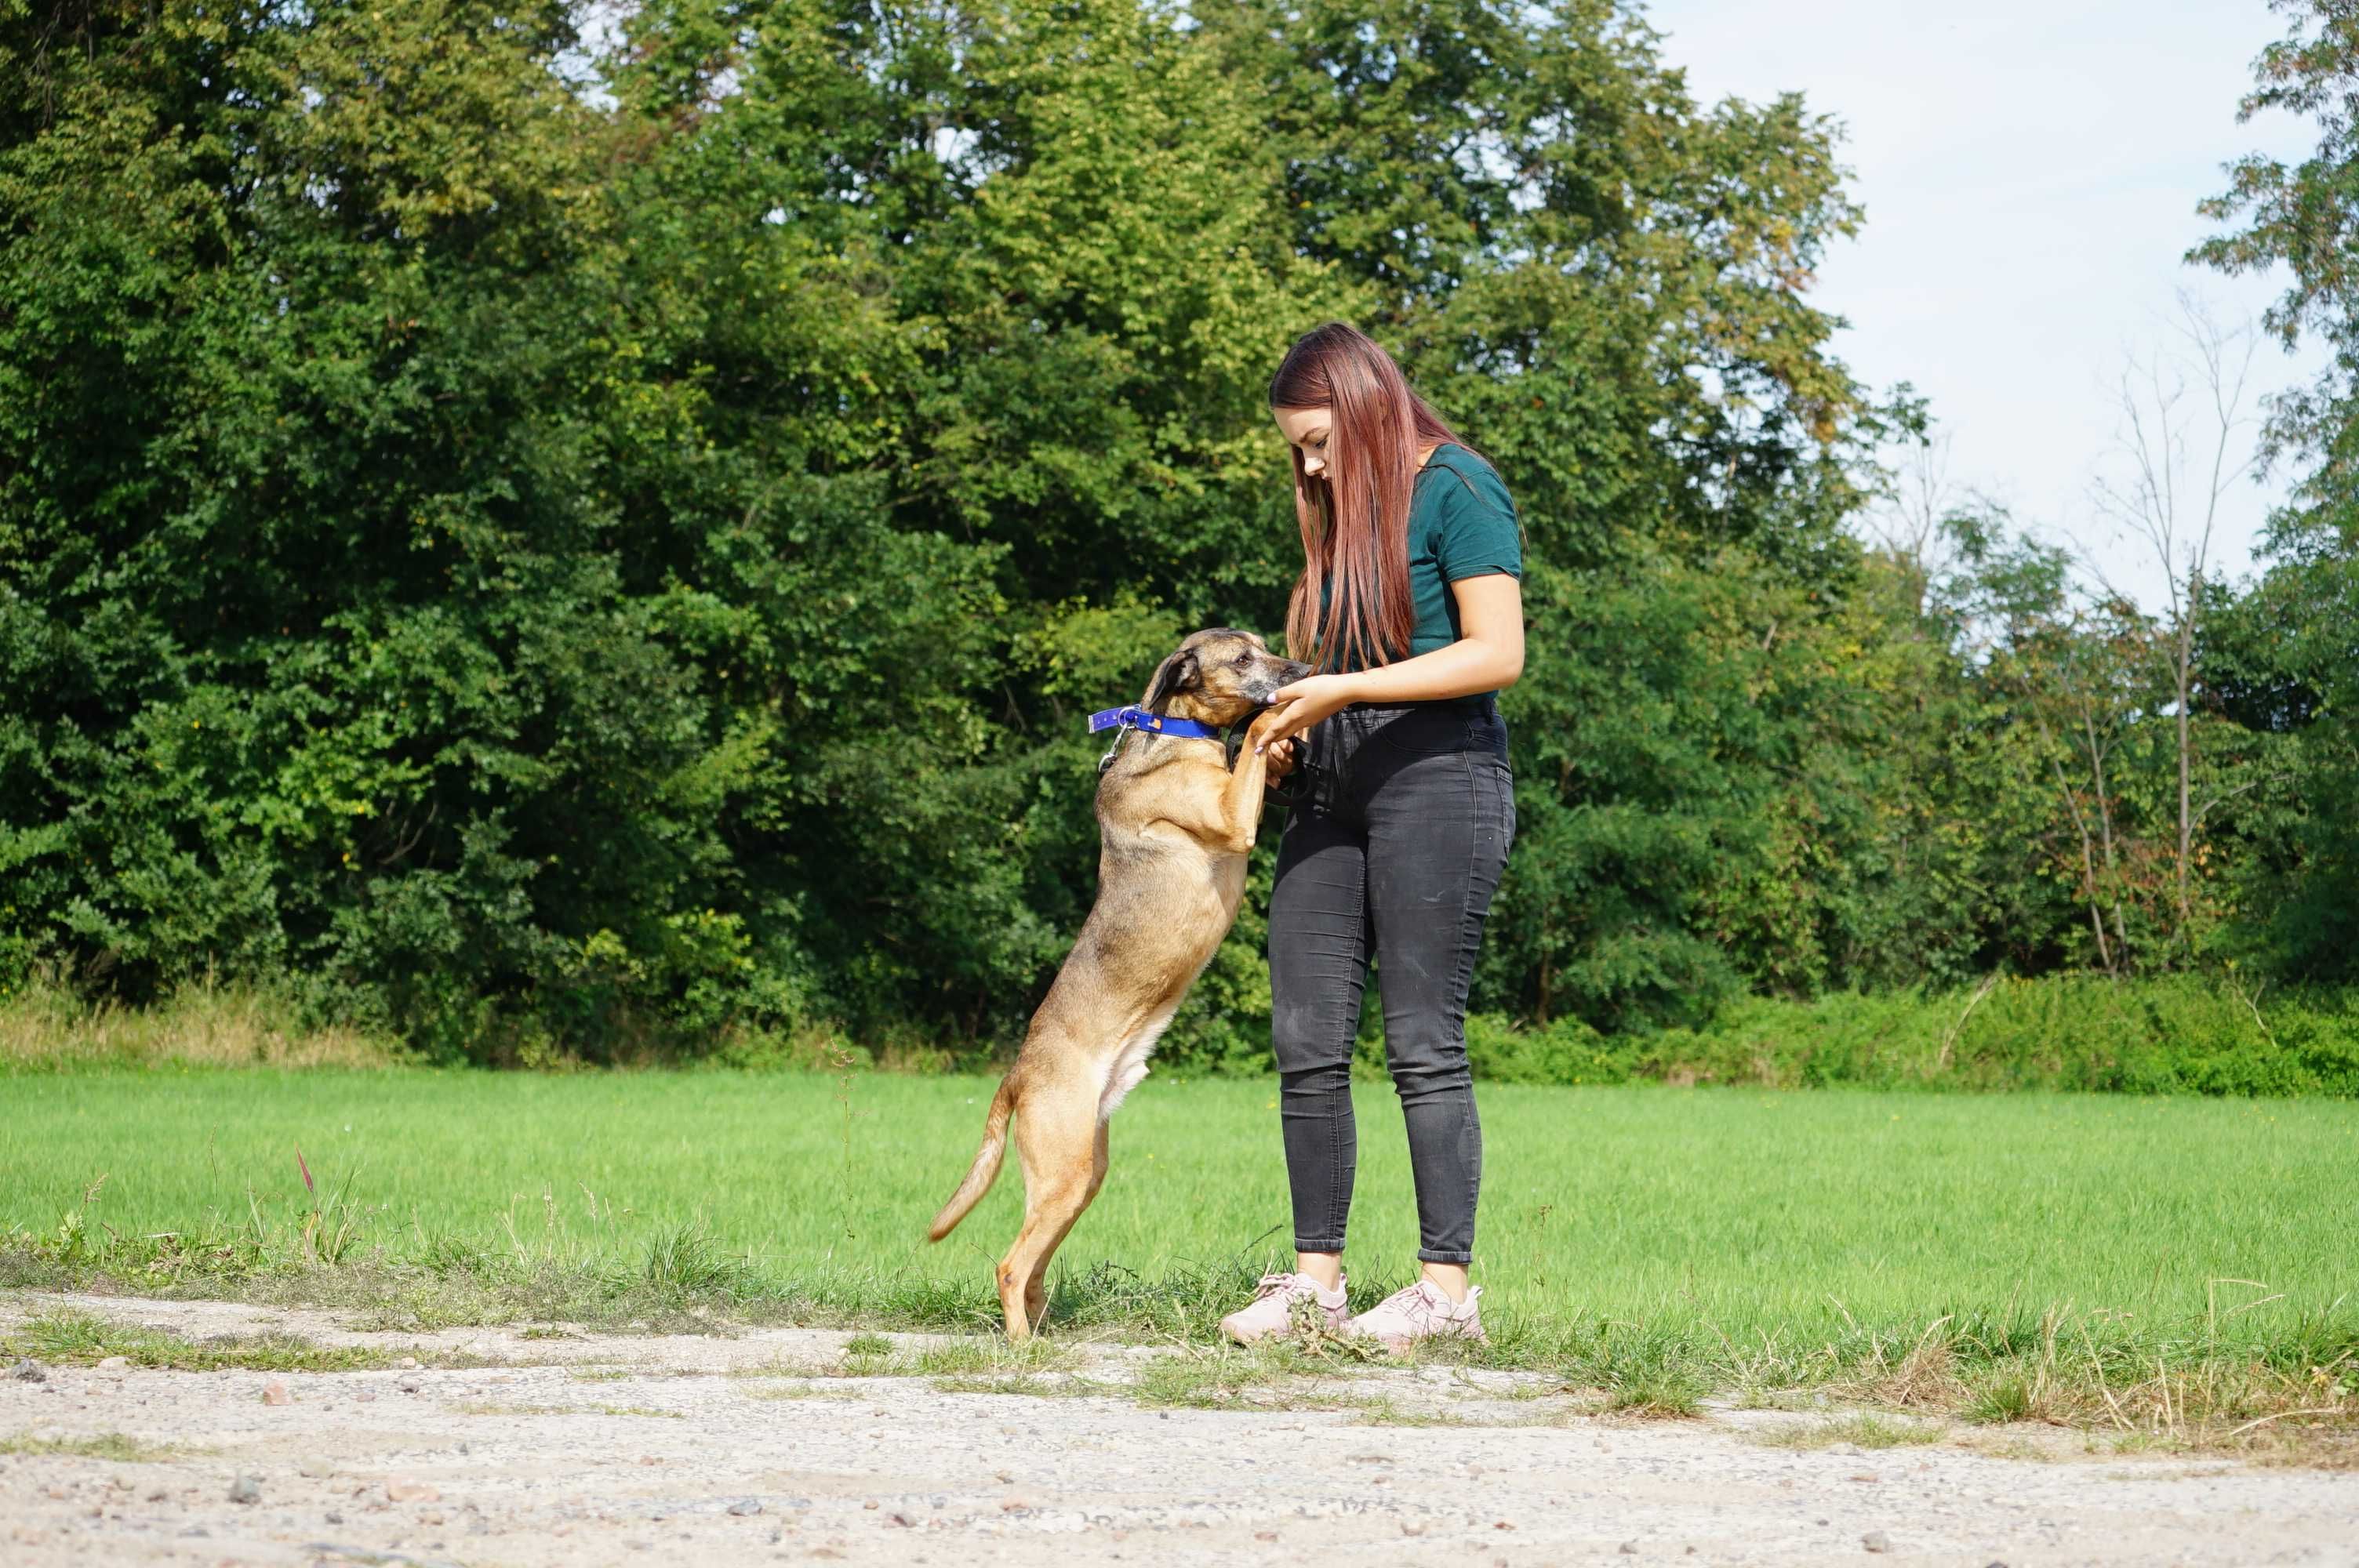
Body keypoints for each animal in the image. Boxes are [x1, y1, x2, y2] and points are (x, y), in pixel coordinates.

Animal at [929, 632, 1321, 1339]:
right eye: (1242, 658)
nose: (1307, 666)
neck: (1180, 732)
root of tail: (1016, 1076)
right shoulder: (1233, 815)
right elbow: (1255, 733)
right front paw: (1278, 720)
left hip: (1083, 1174)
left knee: (1034, 1269)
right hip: (1064, 1171)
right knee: (1010, 1265)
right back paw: (1023, 1347)